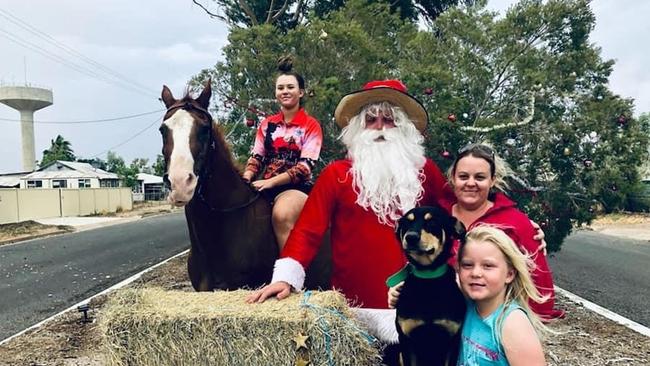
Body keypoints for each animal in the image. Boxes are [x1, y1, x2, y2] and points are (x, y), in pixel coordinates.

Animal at [384, 206, 466, 366]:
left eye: (432, 222)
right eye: (406, 223)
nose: (411, 237)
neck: (428, 277)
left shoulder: (452, 340)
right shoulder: (406, 340)